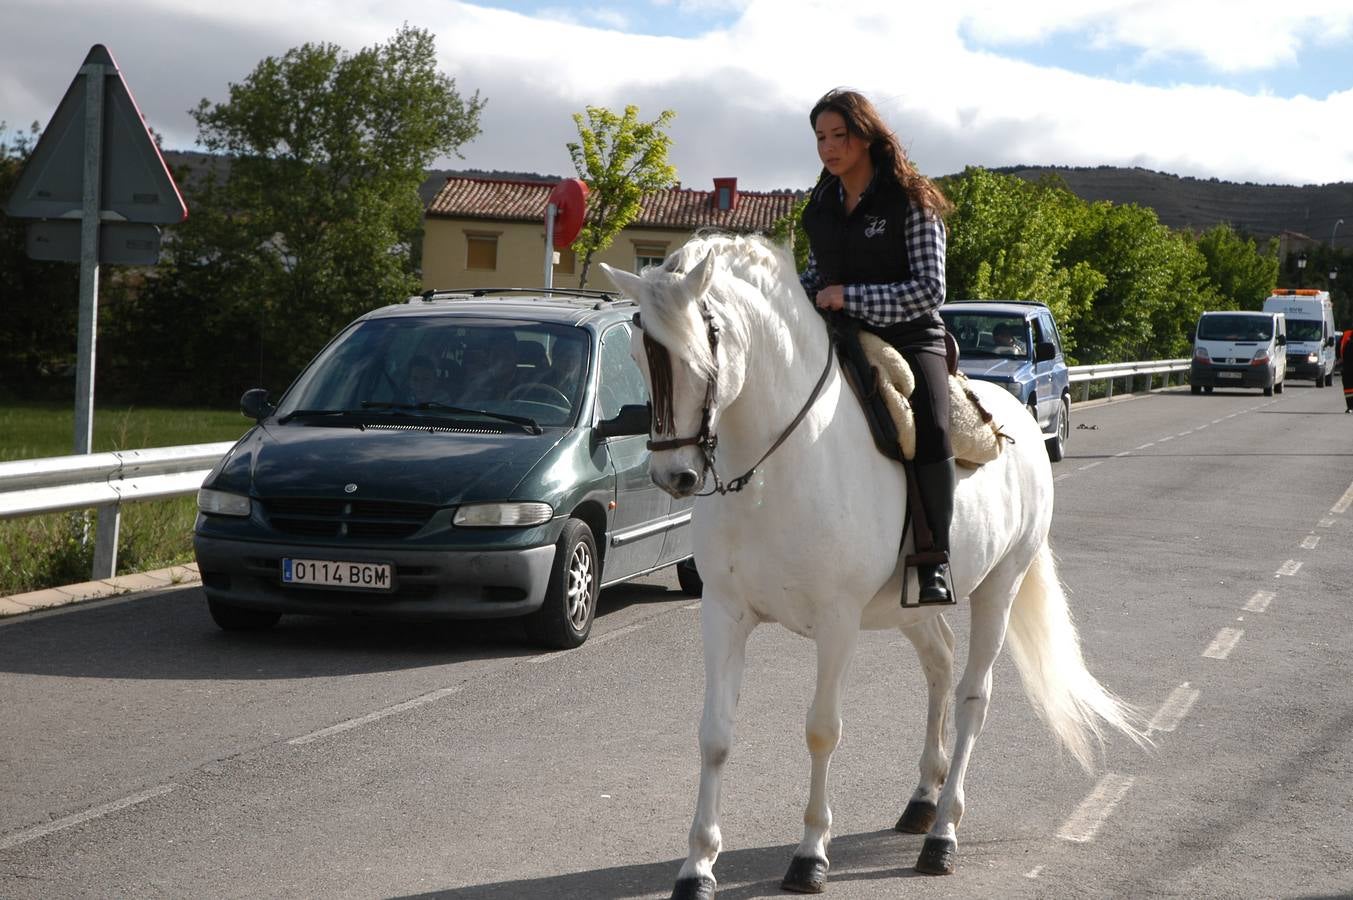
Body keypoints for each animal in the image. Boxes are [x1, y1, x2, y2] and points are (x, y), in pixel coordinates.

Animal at [600, 235, 1141, 893]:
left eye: (701, 350)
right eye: (636, 351)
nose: (672, 476)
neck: (777, 464)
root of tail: (1018, 419)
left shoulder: (837, 623)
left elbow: (821, 730)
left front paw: (810, 855)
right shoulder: (724, 614)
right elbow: (715, 736)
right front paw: (697, 865)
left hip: (1000, 588)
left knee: (973, 696)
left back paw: (942, 836)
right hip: (914, 606)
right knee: (939, 664)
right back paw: (922, 801)